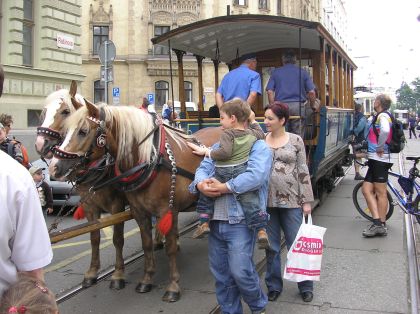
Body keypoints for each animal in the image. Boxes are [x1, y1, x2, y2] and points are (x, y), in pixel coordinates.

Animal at [34, 83, 128, 290]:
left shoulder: (117, 205)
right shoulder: (90, 206)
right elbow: (94, 237)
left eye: (65, 111)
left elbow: (117, 238)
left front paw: (118, 274)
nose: (40, 144)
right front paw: (92, 272)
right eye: (44, 112)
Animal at [48, 101, 223, 302]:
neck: (149, 159)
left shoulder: (156, 209)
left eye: (83, 131)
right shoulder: (131, 210)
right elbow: (131, 242)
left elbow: (133, 242)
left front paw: (172, 285)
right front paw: (145, 279)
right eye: (64, 131)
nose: (54, 167)